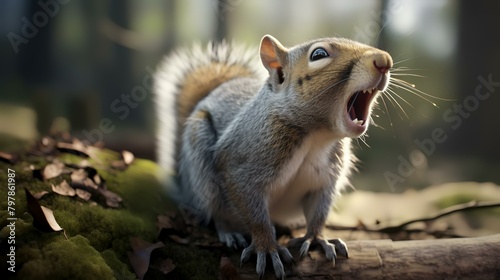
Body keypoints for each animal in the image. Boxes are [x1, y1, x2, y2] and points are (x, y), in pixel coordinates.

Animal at [154, 34, 392, 278]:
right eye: (318, 54)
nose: (384, 61)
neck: (317, 136)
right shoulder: (241, 165)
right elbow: (254, 214)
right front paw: (266, 248)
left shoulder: (325, 180)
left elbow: (318, 211)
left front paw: (317, 239)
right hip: (201, 165)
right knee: (215, 212)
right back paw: (229, 231)